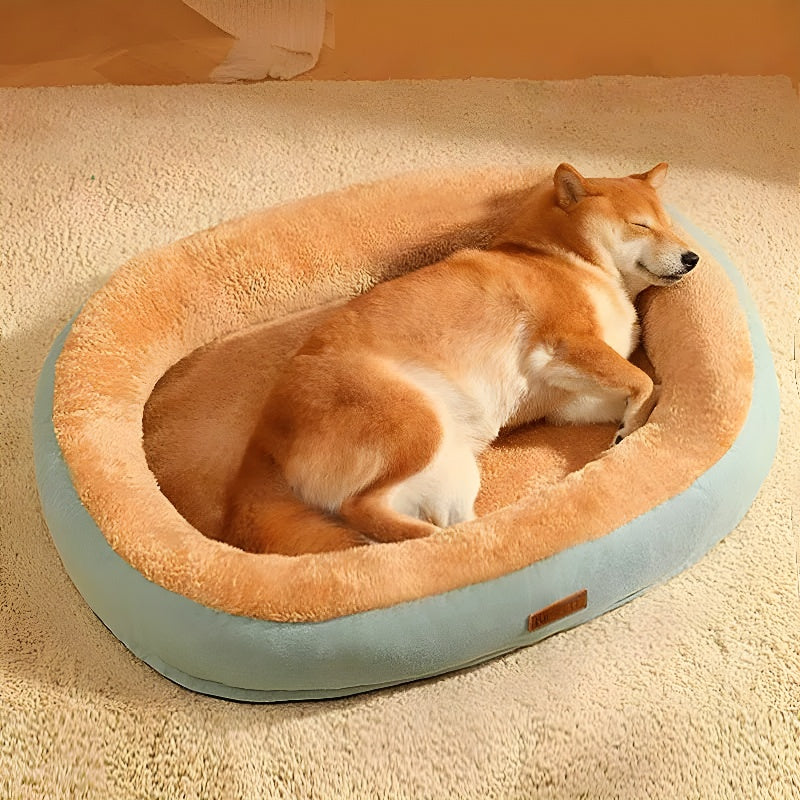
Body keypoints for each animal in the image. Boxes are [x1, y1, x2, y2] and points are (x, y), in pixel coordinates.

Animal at [222, 165, 696, 552]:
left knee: (442, 523)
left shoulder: (569, 399)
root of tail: (263, 443)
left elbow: (649, 387)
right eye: (641, 225)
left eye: (669, 225)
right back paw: (424, 539)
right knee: (360, 508)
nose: (692, 257)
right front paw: (630, 427)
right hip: (414, 425)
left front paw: (629, 426)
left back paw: (475, 537)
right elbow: (642, 380)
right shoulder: (566, 343)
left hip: (452, 469)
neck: (569, 260)